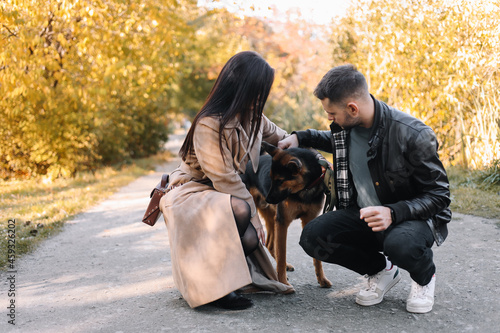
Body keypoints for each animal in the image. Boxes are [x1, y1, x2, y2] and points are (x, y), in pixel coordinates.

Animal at [242, 140, 332, 288]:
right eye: (271, 178)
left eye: (280, 181)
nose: (268, 199)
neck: (303, 191)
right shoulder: (282, 222)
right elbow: (282, 254)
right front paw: (283, 282)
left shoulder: (309, 220)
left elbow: (316, 258)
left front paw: (322, 279)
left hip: (271, 218)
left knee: (269, 244)